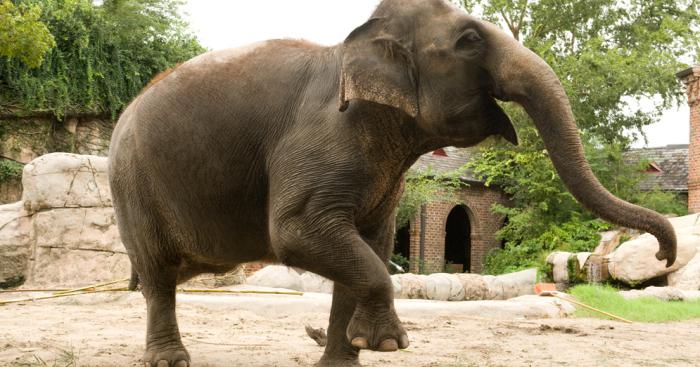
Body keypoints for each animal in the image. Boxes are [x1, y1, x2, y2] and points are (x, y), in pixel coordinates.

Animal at [108, 0, 672, 366]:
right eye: (469, 42)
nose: (664, 255)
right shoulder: (320, 139)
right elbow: (298, 233)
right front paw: (386, 344)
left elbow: (371, 243)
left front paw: (347, 358)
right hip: (133, 187)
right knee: (157, 274)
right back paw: (169, 360)